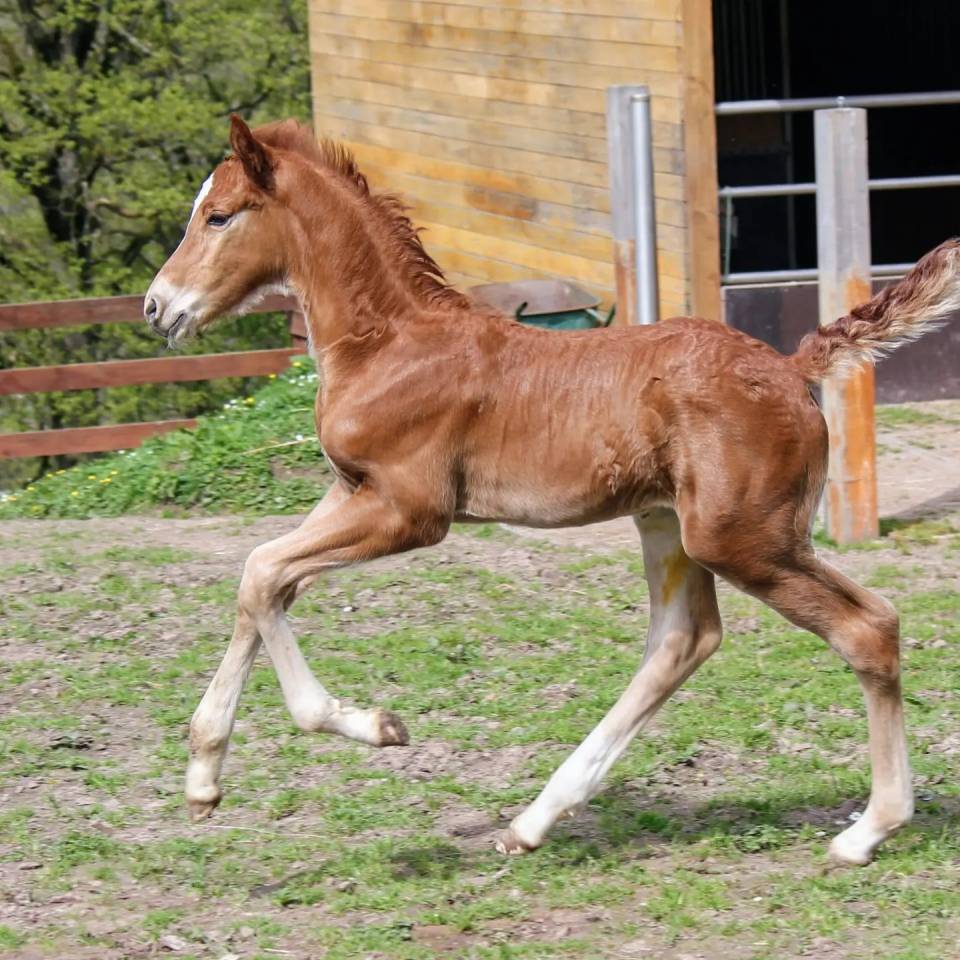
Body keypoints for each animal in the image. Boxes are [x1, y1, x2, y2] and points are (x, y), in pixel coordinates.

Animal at [144, 115, 960, 866]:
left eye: (219, 216)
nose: (157, 306)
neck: (388, 344)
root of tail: (792, 368)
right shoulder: (350, 491)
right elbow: (263, 579)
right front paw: (203, 780)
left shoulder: (410, 509)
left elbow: (263, 572)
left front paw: (373, 726)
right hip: (668, 524)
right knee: (683, 640)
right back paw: (534, 821)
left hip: (743, 538)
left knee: (867, 627)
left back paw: (868, 830)